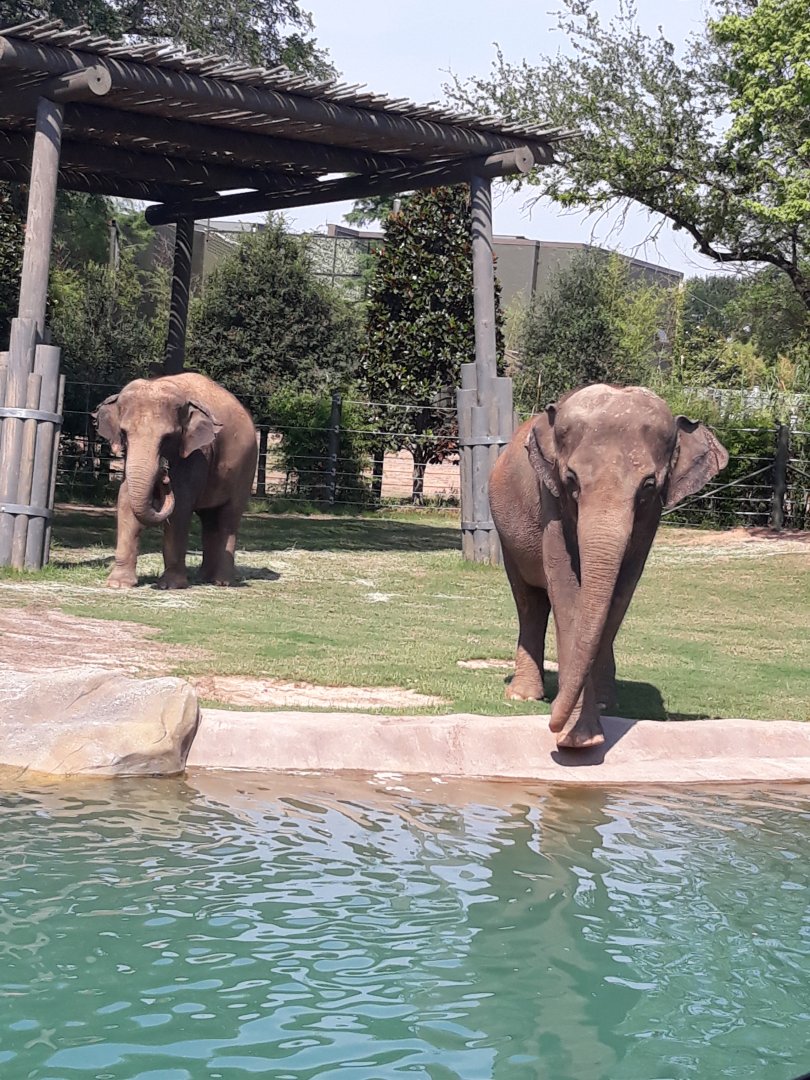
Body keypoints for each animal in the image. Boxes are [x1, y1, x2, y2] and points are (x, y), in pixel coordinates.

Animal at [95, 372, 258, 590]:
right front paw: (118, 584)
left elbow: (180, 507)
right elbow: (125, 501)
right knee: (209, 521)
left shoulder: (198, 453)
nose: (164, 475)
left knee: (228, 518)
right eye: (124, 433)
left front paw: (170, 585)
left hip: (246, 469)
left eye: (168, 437)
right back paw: (203, 578)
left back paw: (221, 582)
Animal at [489, 383, 729, 749]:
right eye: (571, 479)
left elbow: (622, 588)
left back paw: (603, 701)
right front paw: (578, 740)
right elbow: (565, 588)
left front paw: (585, 729)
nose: (553, 726)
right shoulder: (550, 499)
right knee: (529, 602)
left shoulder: (650, 516)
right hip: (506, 536)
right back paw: (522, 696)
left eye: (648, 485)